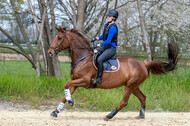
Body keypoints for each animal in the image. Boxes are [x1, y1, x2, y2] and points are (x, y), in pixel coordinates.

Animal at [47, 26, 178, 121]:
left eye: (59, 38)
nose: (50, 52)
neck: (82, 58)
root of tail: (144, 63)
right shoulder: (76, 82)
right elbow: (65, 93)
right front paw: (56, 111)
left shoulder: (84, 81)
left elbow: (66, 84)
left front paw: (71, 101)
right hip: (133, 85)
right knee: (143, 97)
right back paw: (141, 116)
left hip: (130, 85)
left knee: (124, 102)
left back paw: (108, 116)